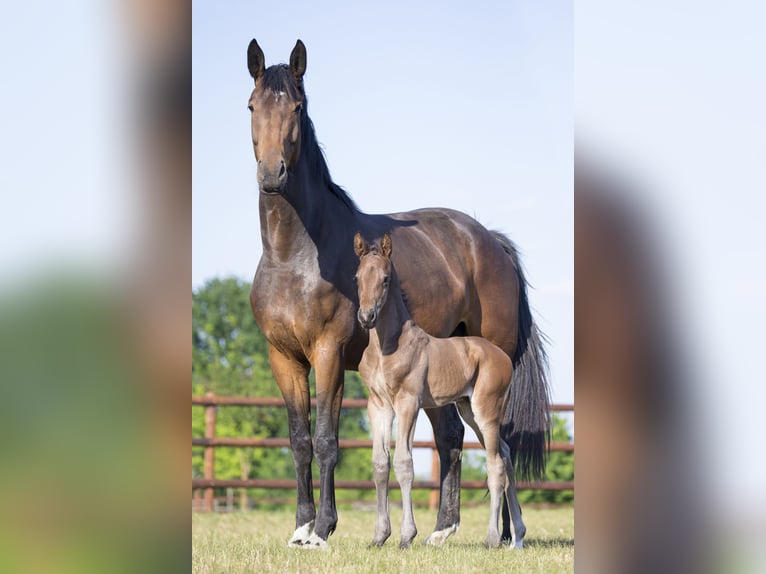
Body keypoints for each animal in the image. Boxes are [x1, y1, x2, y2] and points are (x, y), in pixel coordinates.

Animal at [356, 235, 528, 552]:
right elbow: (380, 463)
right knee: (506, 453)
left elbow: (404, 463)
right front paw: (379, 536)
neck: (388, 345)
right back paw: (519, 536)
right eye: (358, 276)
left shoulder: (408, 402)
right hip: (469, 410)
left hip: (486, 411)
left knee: (496, 465)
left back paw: (492, 538)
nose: (366, 316)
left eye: (386, 278)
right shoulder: (378, 405)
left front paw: (406, 536)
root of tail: (503, 358)